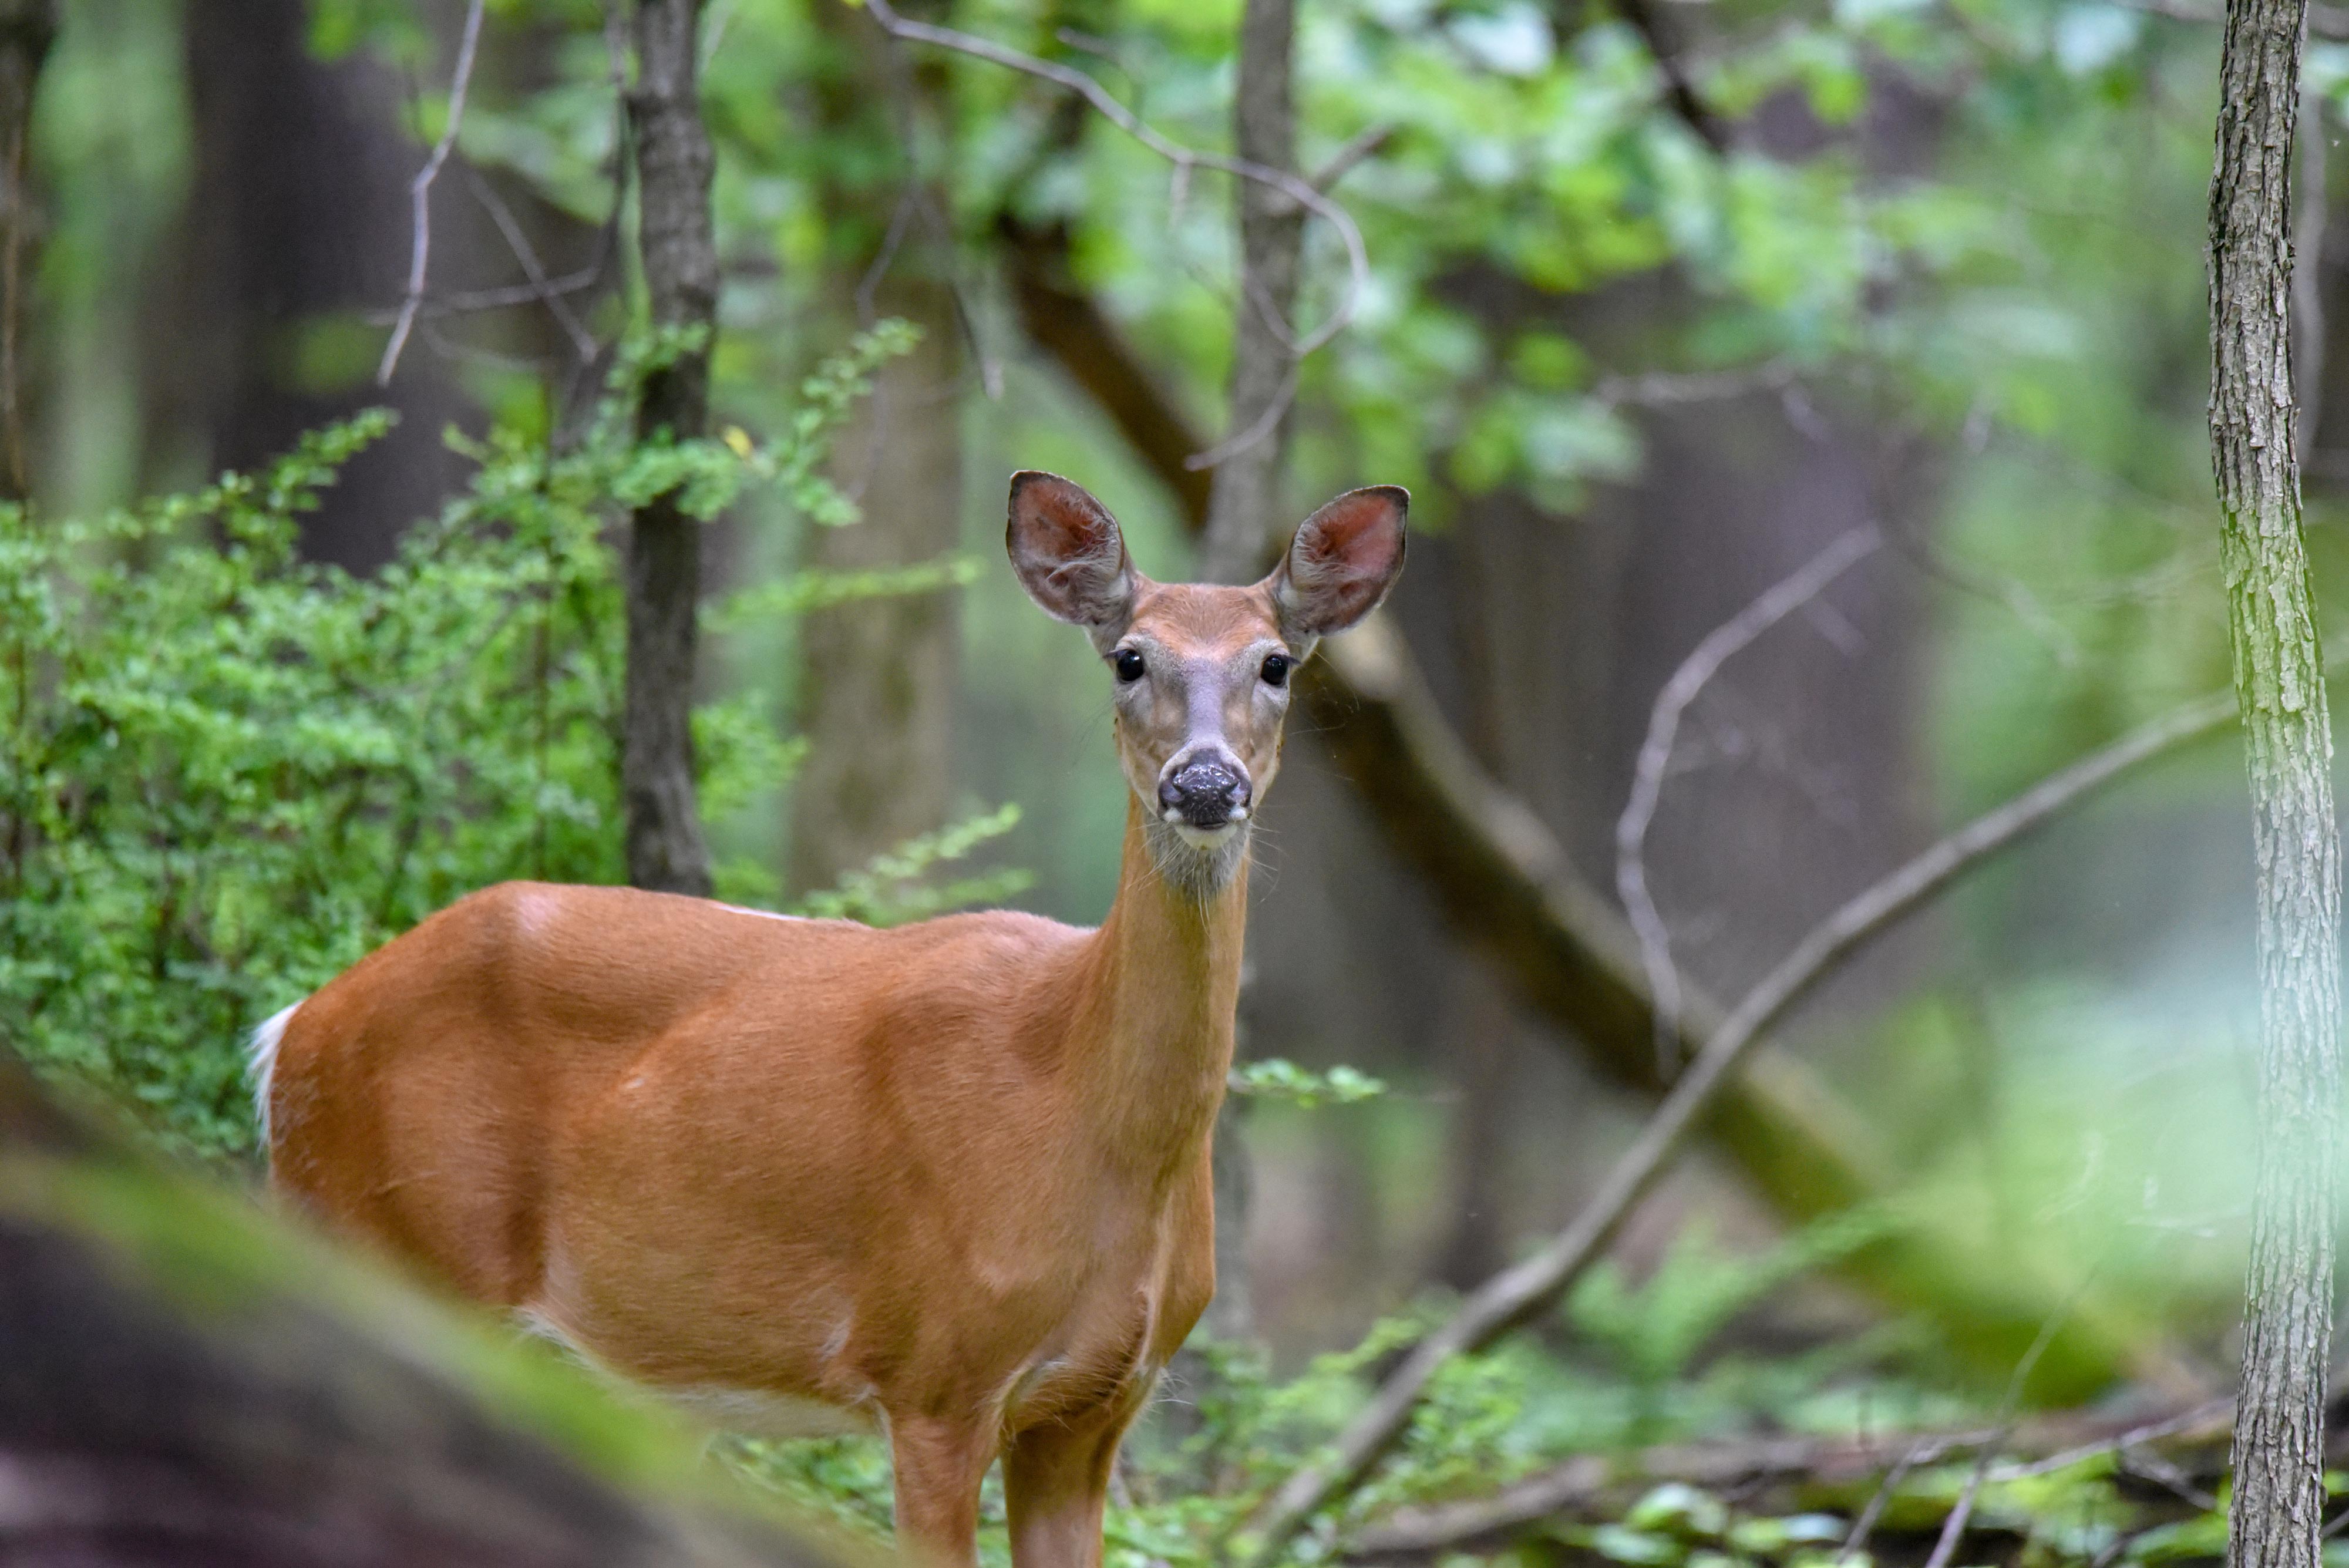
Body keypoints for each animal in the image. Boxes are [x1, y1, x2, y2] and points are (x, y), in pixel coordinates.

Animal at [257, 474, 1400, 1568]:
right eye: (1129, 657)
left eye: (1276, 664)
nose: (1203, 781)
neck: (1081, 1104)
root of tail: (289, 1033)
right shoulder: (934, 1372)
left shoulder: (1094, 1409)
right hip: (389, 1250)